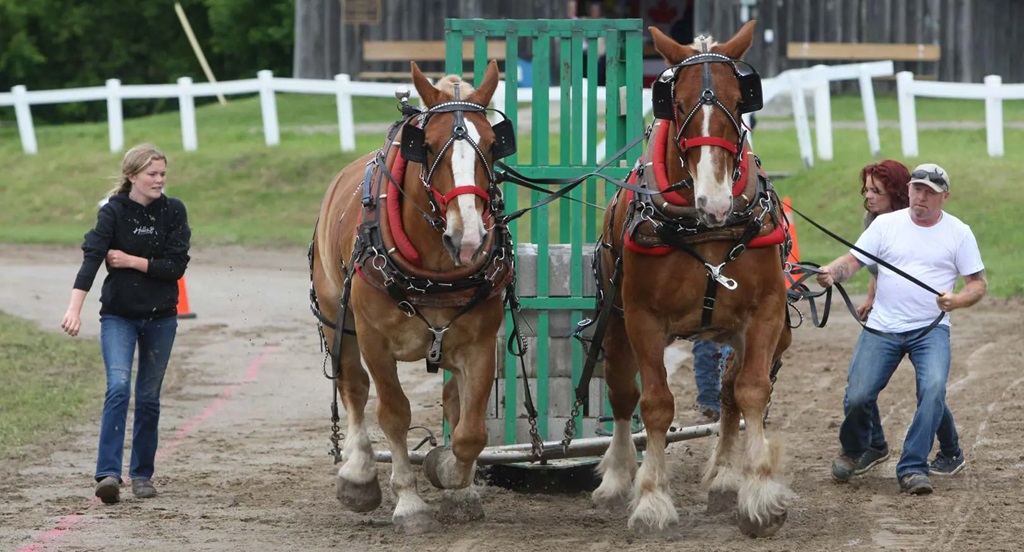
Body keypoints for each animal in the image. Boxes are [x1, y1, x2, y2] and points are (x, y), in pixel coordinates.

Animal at [309, 60, 516, 533]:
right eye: (431, 145)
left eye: (492, 144)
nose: (469, 237)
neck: (436, 270)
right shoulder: (375, 342)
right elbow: (393, 414)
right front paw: (409, 502)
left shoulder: (479, 344)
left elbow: (470, 430)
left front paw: (454, 479)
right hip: (336, 320)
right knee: (354, 388)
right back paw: (359, 474)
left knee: (453, 401)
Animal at [589, 21, 794, 537]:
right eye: (676, 104)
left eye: (740, 101)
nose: (715, 201)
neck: (706, 229)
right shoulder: (642, 319)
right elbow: (656, 405)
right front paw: (651, 499)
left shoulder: (766, 312)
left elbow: (752, 391)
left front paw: (758, 492)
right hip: (615, 325)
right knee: (622, 394)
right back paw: (617, 475)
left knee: (729, 391)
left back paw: (724, 477)